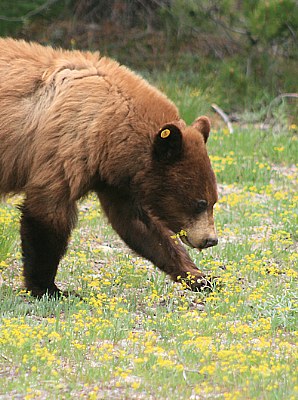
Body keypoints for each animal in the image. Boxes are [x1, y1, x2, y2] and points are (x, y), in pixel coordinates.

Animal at [0, 39, 219, 298]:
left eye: (214, 201)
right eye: (200, 203)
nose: (211, 240)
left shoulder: (116, 177)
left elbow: (140, 226)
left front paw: (200, 278)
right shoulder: (66, 145)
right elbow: (48, 211)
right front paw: (49, 288)